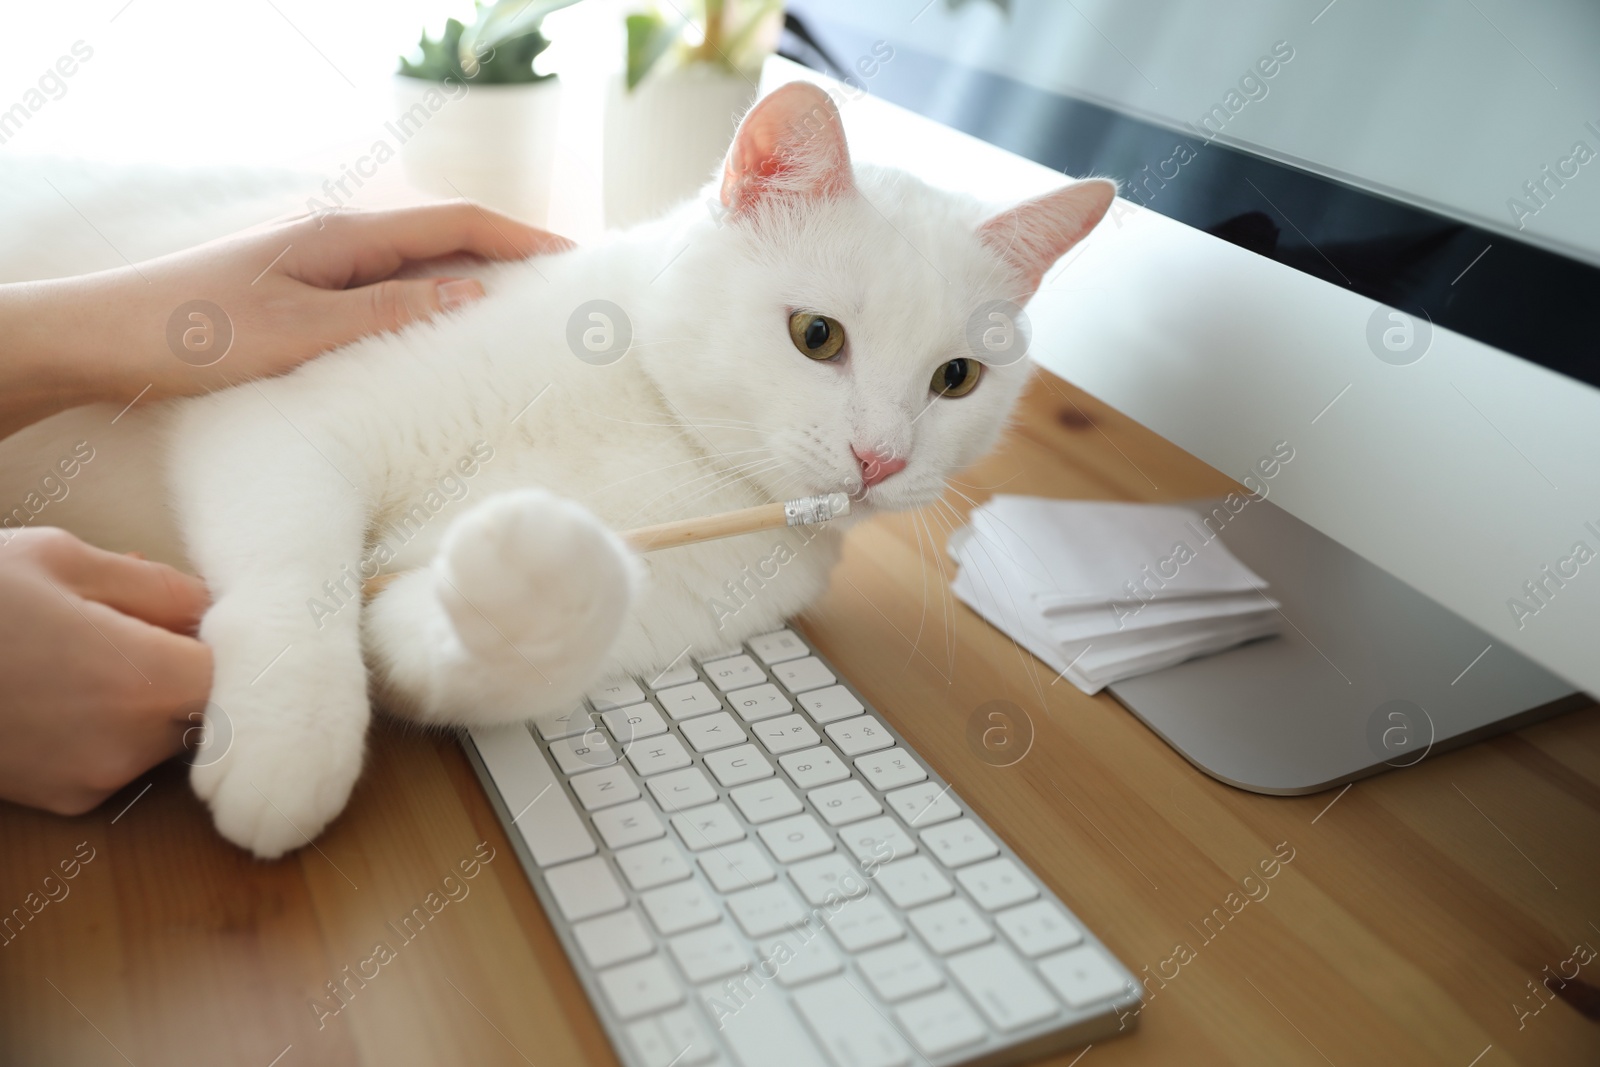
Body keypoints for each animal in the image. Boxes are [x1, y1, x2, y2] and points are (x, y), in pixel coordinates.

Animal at [0, 81, 1113, 857]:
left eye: (957, 378)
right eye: (815, 335)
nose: (880, 459)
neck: (666, 441)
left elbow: (452, 643)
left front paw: (532, 573)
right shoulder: (283, 423)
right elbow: (300, 585)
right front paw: (288, 743)